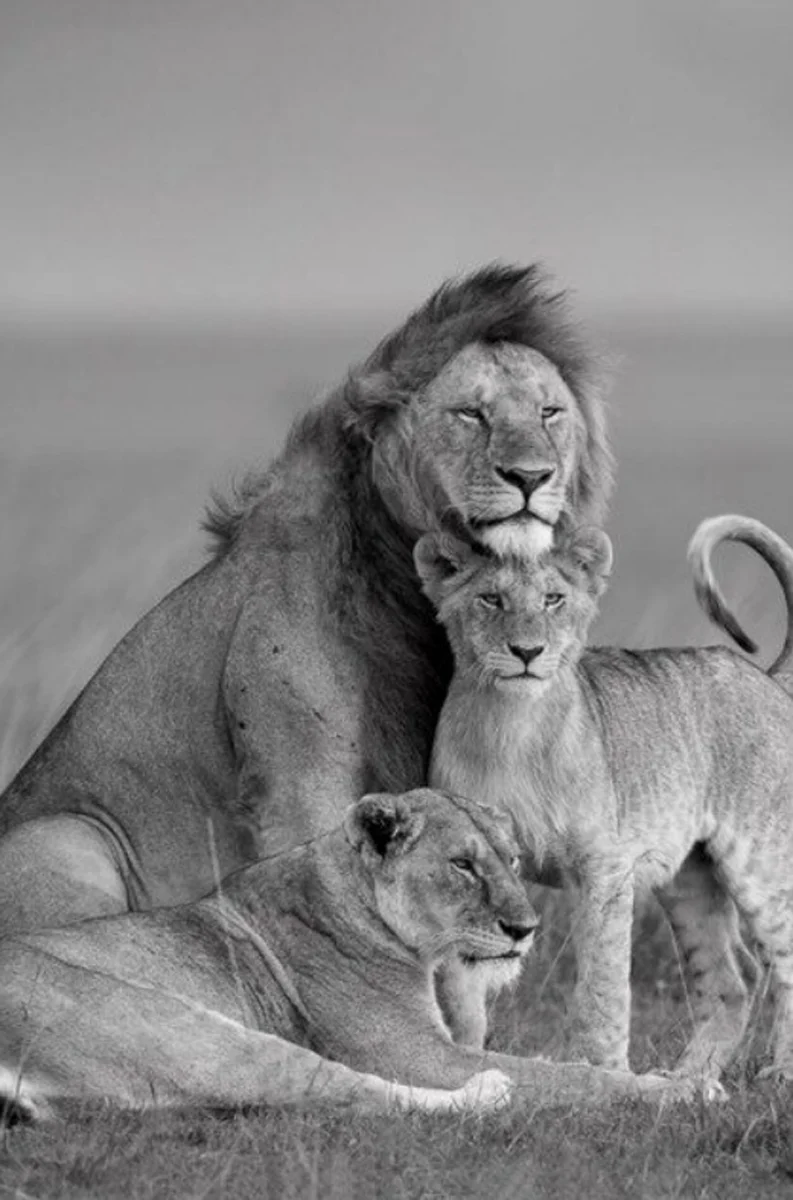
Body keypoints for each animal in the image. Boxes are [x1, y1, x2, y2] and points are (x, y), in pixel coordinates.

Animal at [0, 263, 613, 938]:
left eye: (550, 412)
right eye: (470, 414)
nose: (531, 477)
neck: (407, 585)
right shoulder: (303, 787)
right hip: (68, 837)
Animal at [0, 787, 680, 1121]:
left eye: (511, 860)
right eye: (461, 865)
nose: (526, 928)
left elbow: (561, 1064)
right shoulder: (416, 1053)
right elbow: (567, 1076)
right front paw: (675, 1089)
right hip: (173, 1026)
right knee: (348, 1091)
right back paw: (489, 1093)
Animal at [415, 520, 793, 1088]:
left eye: (553, 599)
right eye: (490, 599)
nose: (527, 652)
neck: (511, 727)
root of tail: (766, 676)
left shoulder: (604, 866)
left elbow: (603, 983)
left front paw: (604, 1074)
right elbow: (462, 988)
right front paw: (463, 1061)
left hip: (760, 858)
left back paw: (778, 1074)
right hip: (688, 878)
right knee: (733, 979)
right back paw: (688, 1079)